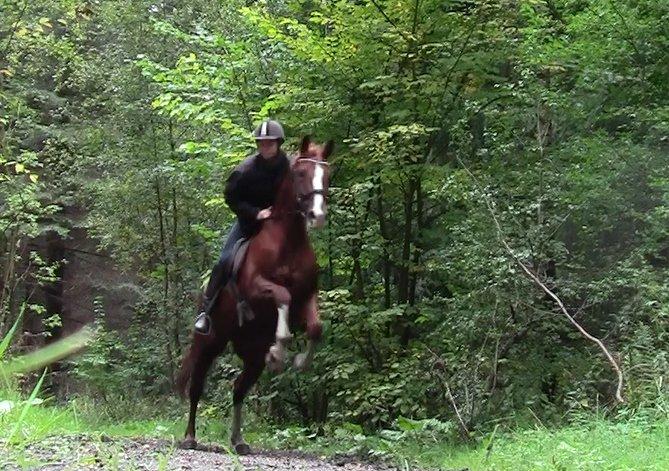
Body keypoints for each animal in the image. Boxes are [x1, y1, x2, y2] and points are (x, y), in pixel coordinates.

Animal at [177, 136, 334, 454]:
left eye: (328, 174)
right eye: (301, 174)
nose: (317, 216)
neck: (288, 241)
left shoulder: (308, 297)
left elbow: (315, 327)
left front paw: (298, 361)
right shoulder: (257, 288)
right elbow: (283, 295)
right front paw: (280, 349)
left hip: (251, 355)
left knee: (238, 389)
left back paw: (238, 441)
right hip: (210, 342)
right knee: (197, 386)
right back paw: (189, 437)